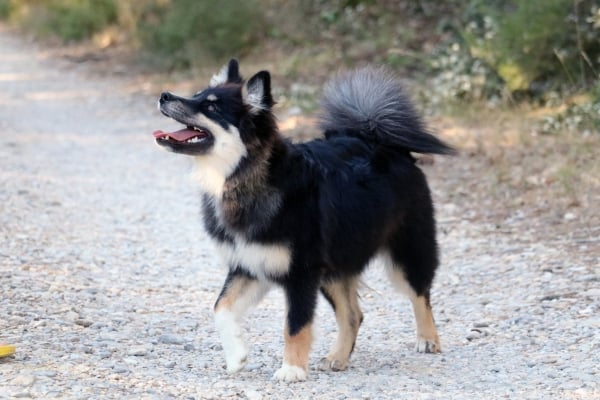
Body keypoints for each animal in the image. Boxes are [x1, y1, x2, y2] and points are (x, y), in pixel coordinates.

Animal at [152, 59, 452, 382]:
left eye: (210, 106)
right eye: (196, 95)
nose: (164, 95)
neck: (244, 177)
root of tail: (381, 140)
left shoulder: (301, 273)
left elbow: (295, 326)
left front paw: (292, 369)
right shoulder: (249, 264)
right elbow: (221, 307)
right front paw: (237, 356)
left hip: (405, 252)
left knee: (420, 294)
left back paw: (428, 339)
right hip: (334, 268)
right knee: (353, 315)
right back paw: (337, 357)